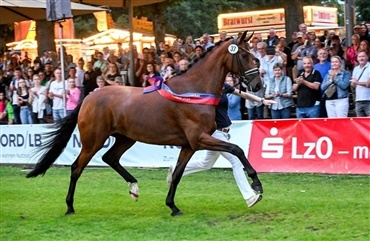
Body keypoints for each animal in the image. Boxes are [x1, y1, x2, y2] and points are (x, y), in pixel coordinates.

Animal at [26, 30, 264, 217]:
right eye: (244, 55)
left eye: (254, 55)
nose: (258, 85)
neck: (193, 91)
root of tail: (89, 96)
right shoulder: (199, 139)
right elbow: (237, 149)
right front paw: (257, 185)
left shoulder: (189, 145)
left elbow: (177, 174)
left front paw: (172, 206)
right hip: (93, 140)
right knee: (77, 167)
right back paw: (70, 207)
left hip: (125, 138)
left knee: (110, 158)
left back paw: (134, 188)